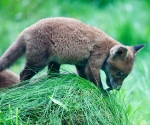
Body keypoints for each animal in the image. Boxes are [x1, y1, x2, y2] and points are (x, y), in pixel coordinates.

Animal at [0, 17, 145, 90]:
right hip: (37, 62)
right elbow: (97, 83)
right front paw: (104, 94)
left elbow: (84, 78)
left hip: (54, 62)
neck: (107, 48)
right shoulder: (93, 63)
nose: (118, 89)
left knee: (51, 75)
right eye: (118, 73)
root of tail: (26, 30)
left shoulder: (81, 65)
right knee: (22, 74)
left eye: (125, 76)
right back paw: (23, 88)